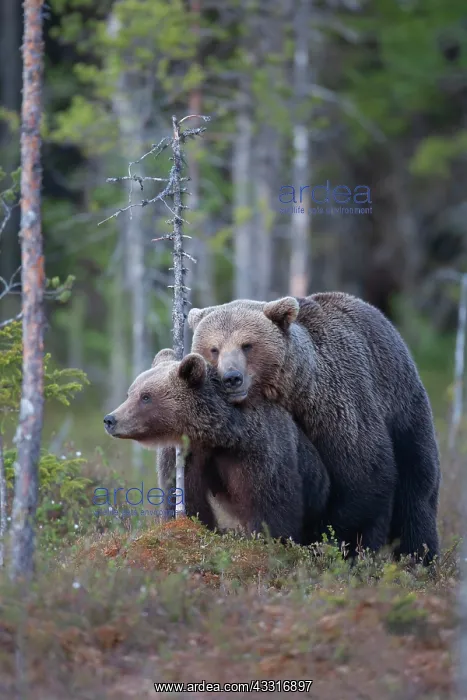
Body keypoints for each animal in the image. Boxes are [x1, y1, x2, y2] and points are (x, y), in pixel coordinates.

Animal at [103, 348, 330, 545]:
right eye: (129, 393)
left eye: (146, 396)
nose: (110, 419)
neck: (220, 436)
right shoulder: (186, 456)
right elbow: (185, 496)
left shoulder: (259, 452)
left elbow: (273, 503)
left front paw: (270, 540)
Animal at [188, 292, 441, 565]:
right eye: (214, 348)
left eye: (247, 344)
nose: (232, 377)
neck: (297, 391)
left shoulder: (337, 406)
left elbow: (365, 474)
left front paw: (334, 540)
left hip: (405, 415)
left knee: (416, 499)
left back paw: (419, 559)